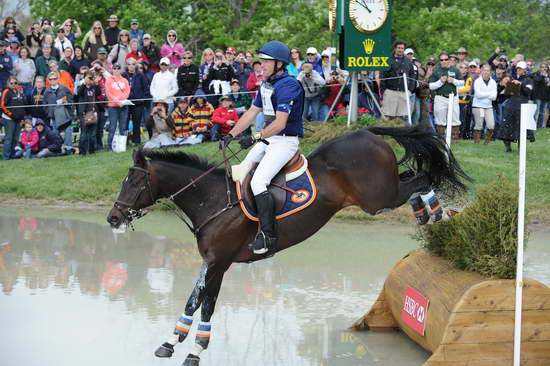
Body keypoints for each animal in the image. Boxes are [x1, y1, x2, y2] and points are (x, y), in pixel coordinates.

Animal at [109, 124, 474, 364]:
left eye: (133, 183)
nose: (113, 218)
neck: (212, 199)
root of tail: (367, 133)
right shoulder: (209, 260)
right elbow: (192, 300)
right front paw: (172, 341)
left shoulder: (220, 263)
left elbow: (208, 304)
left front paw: (196, 351)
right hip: (380, 193)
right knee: (413, 176)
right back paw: (425, 211)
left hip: (376, 197)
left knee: (422, 178)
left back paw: (436, 211)